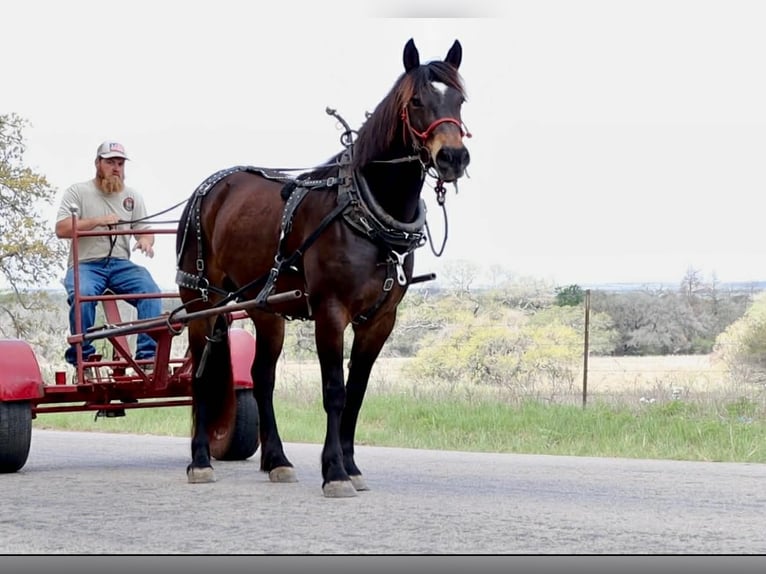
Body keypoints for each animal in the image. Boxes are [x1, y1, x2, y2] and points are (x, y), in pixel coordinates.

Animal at [175, 38, 471, 497]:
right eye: (417, 101)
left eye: (460, 100)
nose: (454, 157)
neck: (362, 211)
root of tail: (211, 187)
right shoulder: (331, 311)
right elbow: (334, 390)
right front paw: (334, 472)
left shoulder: (380, 319)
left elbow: (357, 392)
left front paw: (351, 466)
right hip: (201, 301)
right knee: (202, 380)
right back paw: (201, 461)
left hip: (264, 309)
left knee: (262, 378)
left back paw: (277, 460)